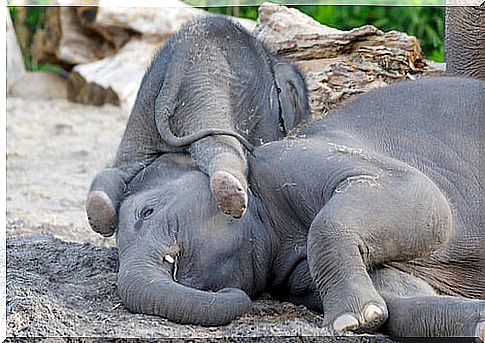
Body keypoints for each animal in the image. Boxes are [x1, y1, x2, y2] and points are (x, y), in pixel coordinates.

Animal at [85, 15, 308, 236]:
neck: (273, 59)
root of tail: (177, 63)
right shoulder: (265, 109)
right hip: (205, 97)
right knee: (219, 149)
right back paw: (233, 197)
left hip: (144, 105)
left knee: (125, 164)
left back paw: (100, 209)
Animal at [110, 78, 484, 338]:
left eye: (146, 212)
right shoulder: (296, 274)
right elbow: (399, 295)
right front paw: (368, 317)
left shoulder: (292, 160)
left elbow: (424, 197)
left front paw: (351, 320)